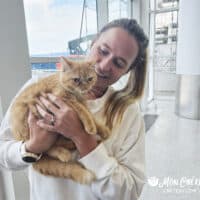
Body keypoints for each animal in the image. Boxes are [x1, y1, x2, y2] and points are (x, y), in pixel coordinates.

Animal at [9, 56, 110, 184]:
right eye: (76, 80)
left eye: (90, 79)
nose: (85, 87)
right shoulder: (65, 99)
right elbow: (84, 112)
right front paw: (90, 127)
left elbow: (92, 117)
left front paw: (102, 130)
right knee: (48, 148)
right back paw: (64, 153)